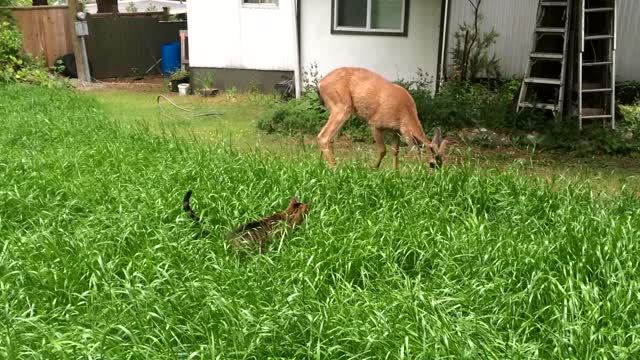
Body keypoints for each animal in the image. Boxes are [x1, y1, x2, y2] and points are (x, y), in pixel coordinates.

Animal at [314, 67, 444, 170]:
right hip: (341, 106)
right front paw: (374, 168)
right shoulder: (375, 124)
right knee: (323, 136)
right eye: (432, 164)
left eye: (441, 163)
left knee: (331, 138)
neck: (405, 113)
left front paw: (395, 172)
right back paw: (334, 168)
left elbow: (395, 151)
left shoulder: (395, 131)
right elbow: (383, 150)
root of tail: (320, 83)